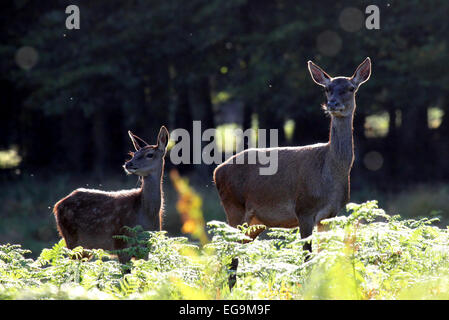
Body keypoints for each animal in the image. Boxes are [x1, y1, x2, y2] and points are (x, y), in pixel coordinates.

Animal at [53, 125, 169, 262]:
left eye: (150, 154)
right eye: (133, 154)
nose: (128, 164)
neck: (146, 216)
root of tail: (57, 205)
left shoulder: (146, 249)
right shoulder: (121, 243)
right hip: (72, 239)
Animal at [214, 57, 372, 252]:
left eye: (351, 88)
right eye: (327, 89)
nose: (332, 103)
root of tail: (217, 171)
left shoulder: (330, 214)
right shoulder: (304, 209)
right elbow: (307, 255)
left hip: (254, 222)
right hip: (234, 205)